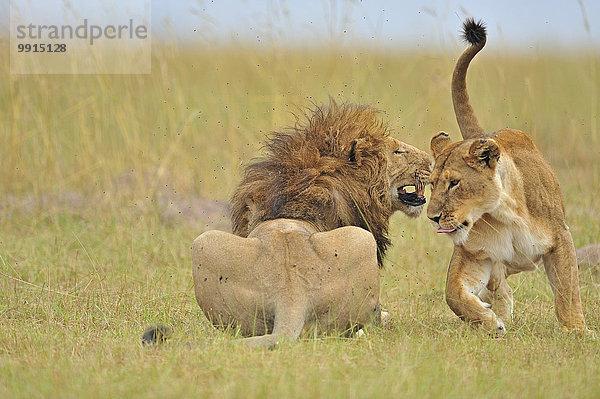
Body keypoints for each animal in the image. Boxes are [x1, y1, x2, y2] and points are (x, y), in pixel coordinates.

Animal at [428, 20, 588, 336]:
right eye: (432, 184)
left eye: (454, 183)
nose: (432, 217)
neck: (503, 214)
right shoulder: (474, 253)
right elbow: (453, 294)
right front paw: (490, 322)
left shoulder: (560, 237)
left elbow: (567, 290)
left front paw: (577, 331)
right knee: (499, 285)